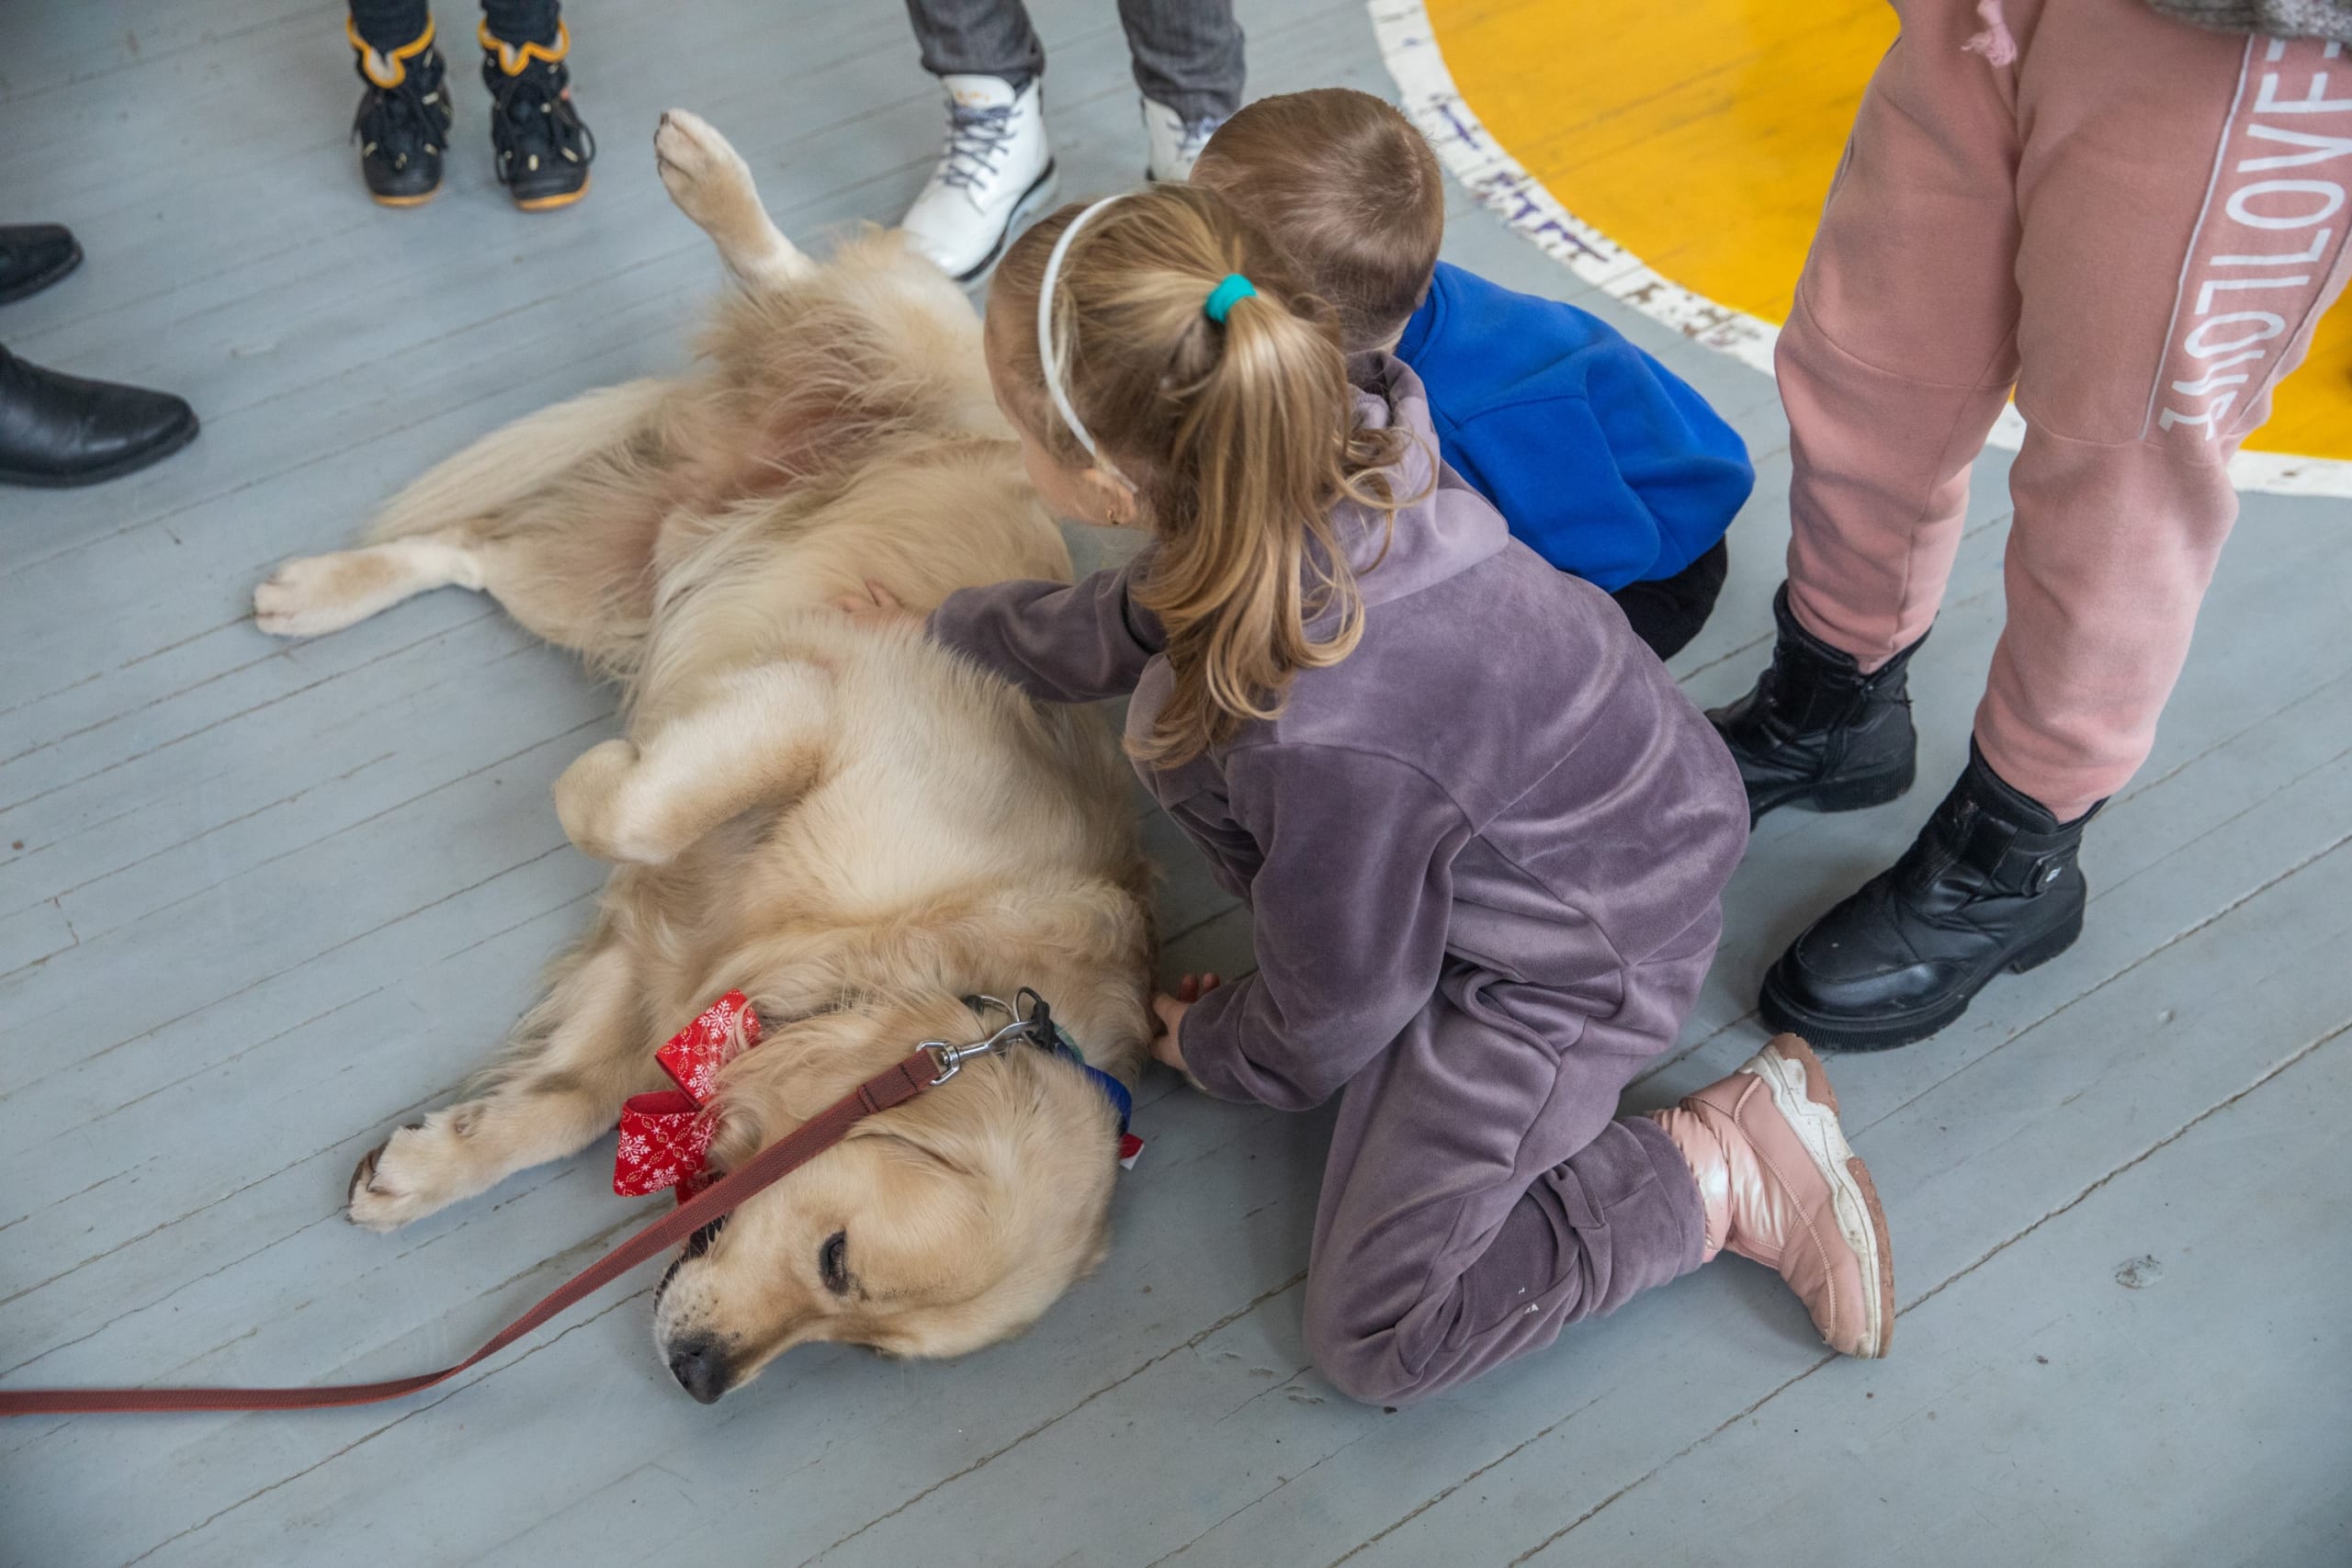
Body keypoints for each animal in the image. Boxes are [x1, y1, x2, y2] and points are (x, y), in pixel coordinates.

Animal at [253, 110, 1152, 1410]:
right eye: (838, 1261)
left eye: (859, 1340)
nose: (699, 1378)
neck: (918, 951)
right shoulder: (818, 703)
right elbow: (627, 811)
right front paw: (595, 773)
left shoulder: (666, 962)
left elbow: (574, 1104)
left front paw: (430, 1166)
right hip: (920, 355)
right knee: (805, 280)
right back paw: (708, 176)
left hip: (603, 575)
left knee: (467, 553)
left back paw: (314, 595)